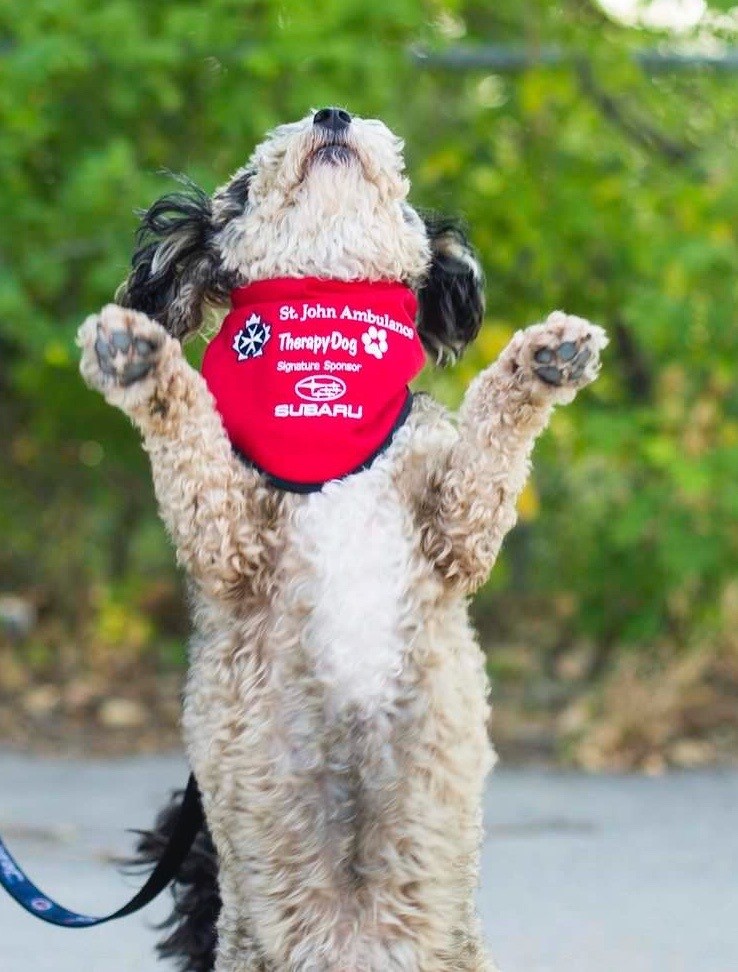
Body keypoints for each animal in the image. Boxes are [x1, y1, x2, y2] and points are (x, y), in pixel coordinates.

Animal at [76, 108, 604, 972]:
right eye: (247, 180)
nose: (331, 114)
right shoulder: (225, 536)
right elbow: (186, 427)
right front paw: (136, 358)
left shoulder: (456, 531)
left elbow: (493, 431)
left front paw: (544, 357)